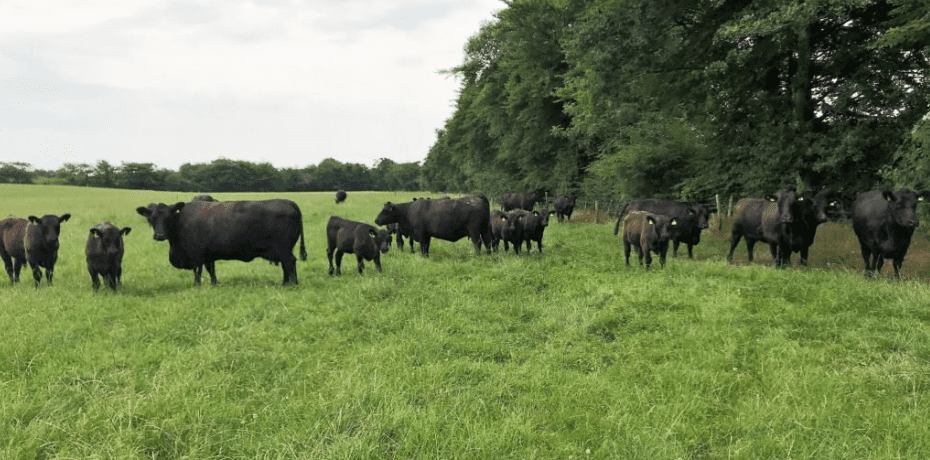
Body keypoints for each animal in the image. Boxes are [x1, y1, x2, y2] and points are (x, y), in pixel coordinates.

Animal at [136, 199, 307, 285]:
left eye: (168, 217)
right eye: (152, 218)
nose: (159, 235)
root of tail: (288, 202)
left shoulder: (196, 253)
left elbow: (198, 271)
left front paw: (197, 285)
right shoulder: (208, 253)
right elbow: (210, 269)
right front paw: (214, 283)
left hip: (284, 249)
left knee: (290, 263)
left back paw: (292, 284)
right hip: (282, 250)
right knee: (286, 265)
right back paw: (285, 283)